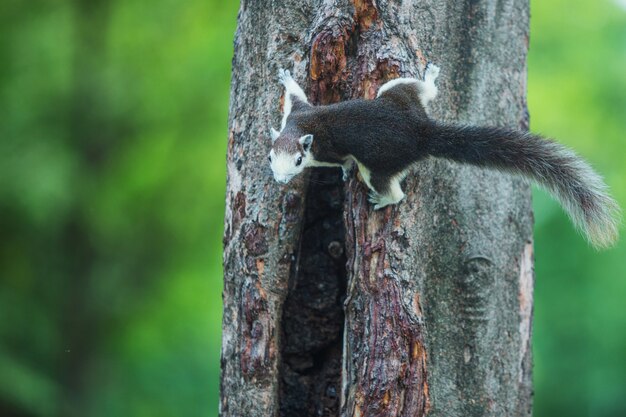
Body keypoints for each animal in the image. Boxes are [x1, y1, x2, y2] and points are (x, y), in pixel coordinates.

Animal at [268, 63, 620, 249]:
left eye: (298, 162)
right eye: (271, 158)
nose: (281, 180)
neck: (299, 129)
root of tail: (421, 133)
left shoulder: (323, 145)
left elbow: (340, 159)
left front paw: (342, 170)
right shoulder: (298, 113)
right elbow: (296, 96)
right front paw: (286, 78)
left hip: (380, 161)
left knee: (391, 188)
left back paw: (382, 199)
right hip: (399, 95)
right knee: (422, 90)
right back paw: (431, 77)